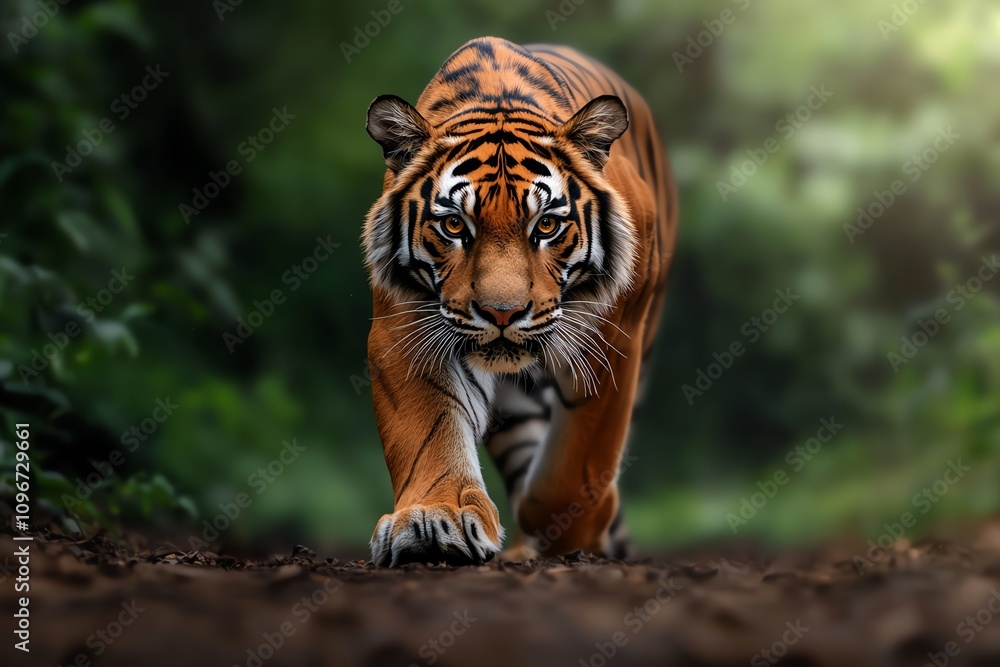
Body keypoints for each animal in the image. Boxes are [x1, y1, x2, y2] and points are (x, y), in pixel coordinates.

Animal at [363, 36, 677, 566]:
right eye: (454, 225)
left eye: (546, 225)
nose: (502, 313)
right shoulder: (405, 323)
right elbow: (427, 429)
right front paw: (433, 520)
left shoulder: (615, 330)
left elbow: (583, 454)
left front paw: (566, 524)